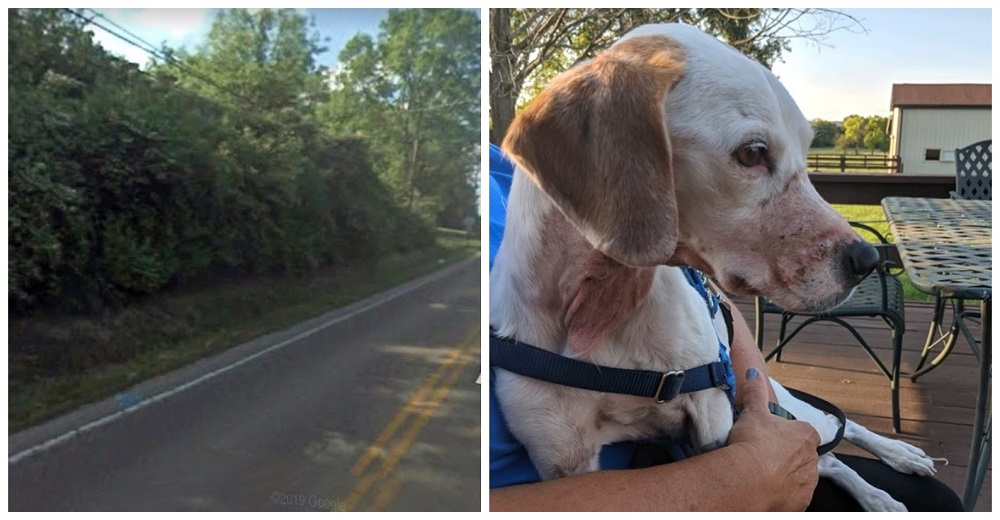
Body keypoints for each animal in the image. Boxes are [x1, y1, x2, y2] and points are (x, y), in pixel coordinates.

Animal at [492, 23, 936, 512]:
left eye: (805, 151)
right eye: (753, 152)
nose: (868, 259)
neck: (604, 309)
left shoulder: (712, 416)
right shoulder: (564, 454)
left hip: (783, 405)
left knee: (839, 427)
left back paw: (899, 456)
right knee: (830, 459)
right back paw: (877, 495)